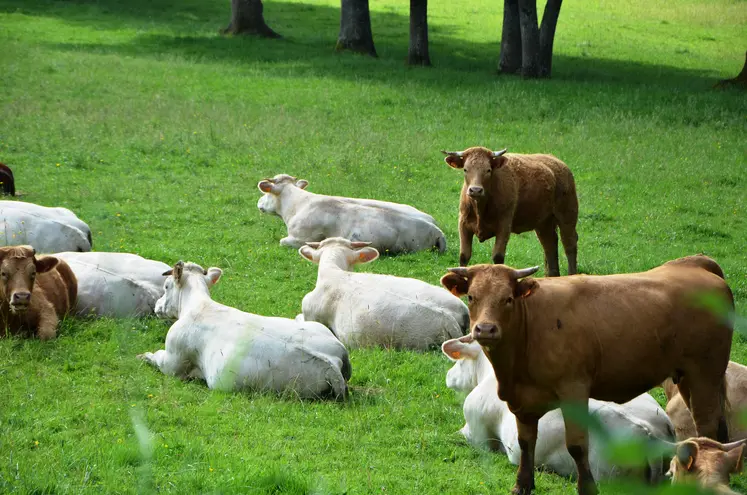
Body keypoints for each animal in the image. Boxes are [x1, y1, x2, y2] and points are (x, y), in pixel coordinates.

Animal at [139, 261, 350, 400]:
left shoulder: (173, 361)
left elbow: (156, 357)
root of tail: (330, 361)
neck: (198, 306)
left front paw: (143, 355)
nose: (157, 306)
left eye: (166, 286)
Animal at [442, 147, 578, 276]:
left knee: (569, 244)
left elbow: (498, 257)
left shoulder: (504, 226)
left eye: (488, 170)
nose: (475, 190)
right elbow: (464, 256)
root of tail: (558, 163)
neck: (480, 208)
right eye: (465, 169)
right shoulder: (464, 225)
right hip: (543, 223)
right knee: (549, 246)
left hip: (567, 216)